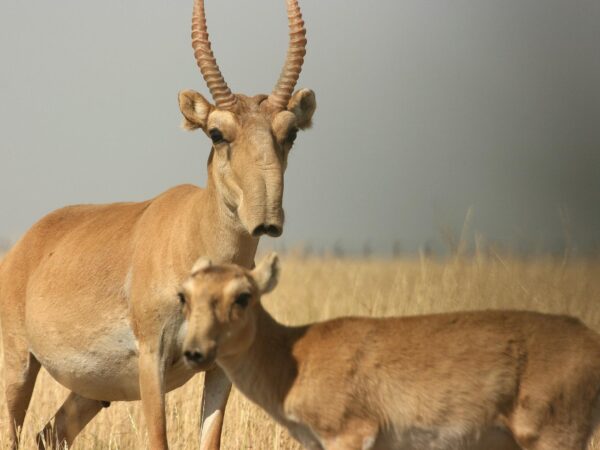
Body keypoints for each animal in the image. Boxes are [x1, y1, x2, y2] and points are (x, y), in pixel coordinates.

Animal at [0, 0, 314, 446]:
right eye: (216, 133)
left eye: (291, 133)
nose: (266, 218)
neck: (191, 231)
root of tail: (24, 247)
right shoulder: (153, 360)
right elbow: (158, 438)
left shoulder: (220, 368)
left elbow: (210, 438)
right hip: (19, 366)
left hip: (90, 392)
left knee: (50, 434)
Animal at [180, 253, 600, 450]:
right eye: (185, 295)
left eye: (243, 296)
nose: (194, 352)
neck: (292, 357)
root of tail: (591, 340)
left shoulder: (350, 434)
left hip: (554, 437)